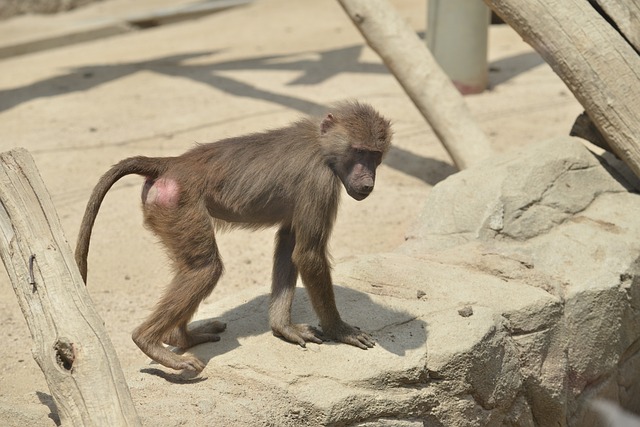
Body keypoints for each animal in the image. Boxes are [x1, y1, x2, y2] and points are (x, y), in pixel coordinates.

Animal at [75, 101, 392, 372]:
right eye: (358, 152)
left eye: (375, 155)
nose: (368, 184)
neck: (322, 145)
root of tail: (173, 163)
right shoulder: (319, 181)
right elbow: (308, 254)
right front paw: (340, 331)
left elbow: (289, 243)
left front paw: (283, 328)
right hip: (178, 204)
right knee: (205, 269)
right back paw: (150, 342)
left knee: (191, 269)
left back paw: (182, 338)